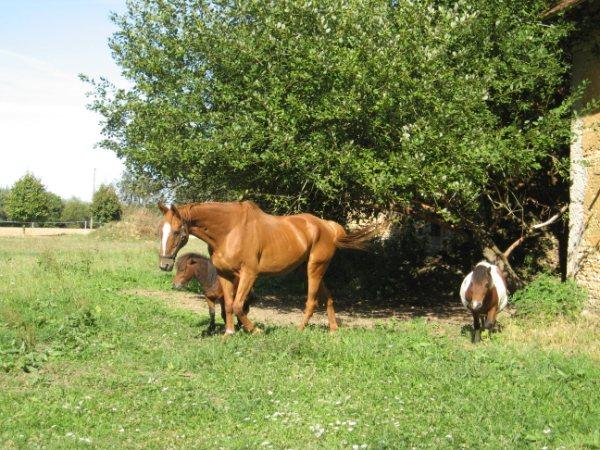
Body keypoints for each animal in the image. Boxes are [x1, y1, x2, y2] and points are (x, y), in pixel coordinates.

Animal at [157, 202, 378, 336]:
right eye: (160, 231)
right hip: (312, 269)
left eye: (177, 232)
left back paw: (299, 330)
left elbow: (238, 305)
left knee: (311, 302)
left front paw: (255, 330)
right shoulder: (224, 275)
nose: (164, 265)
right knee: (328, 298)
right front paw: (229, 333)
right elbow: (227, 306)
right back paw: (333, 330)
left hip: (314, 268)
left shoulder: (249, 274)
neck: (229, 231)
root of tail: (329, 227)